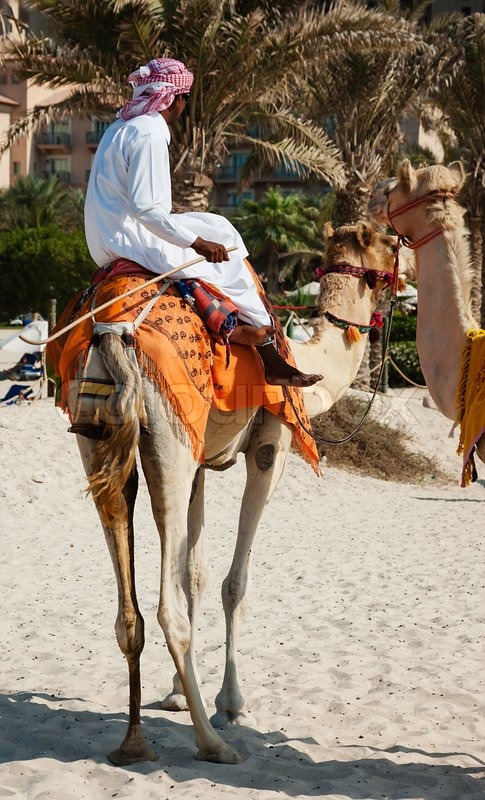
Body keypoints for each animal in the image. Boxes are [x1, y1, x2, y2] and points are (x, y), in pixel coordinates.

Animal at [58, 221, 400, 766]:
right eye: (391, 243)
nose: (406, 279)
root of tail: (112, 340)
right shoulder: (271, 445)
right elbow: (233, 584)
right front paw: (232, 704)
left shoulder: (200, 459)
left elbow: (194, 572)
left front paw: (178, 693)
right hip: (170, 440)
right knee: (167, 609)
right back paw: (213, 744)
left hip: (98, 440)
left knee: (129, 607)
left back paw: (133, 742)